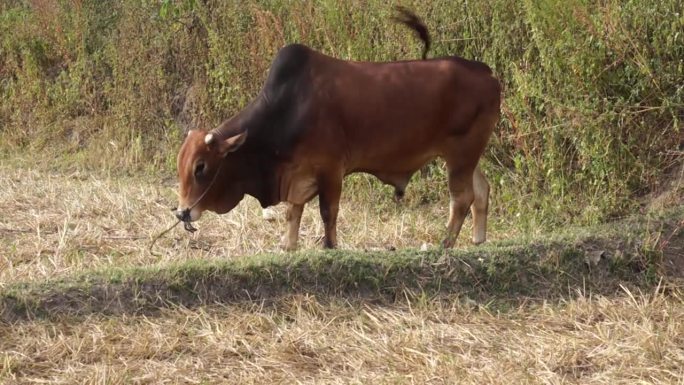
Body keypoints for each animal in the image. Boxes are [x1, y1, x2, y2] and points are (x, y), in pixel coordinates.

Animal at [174, 9, 500, 250]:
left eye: (201, 167)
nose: (182, 212)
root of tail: (487, 73)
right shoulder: (297, 176)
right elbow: (293, 213)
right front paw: (288, 247)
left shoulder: (330, 170)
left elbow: (327, 213)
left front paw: (329, 248)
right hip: (466, 155)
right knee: (481, 190)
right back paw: (478, 240)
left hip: (460, 154)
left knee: (462, 198)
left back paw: (445, 244)